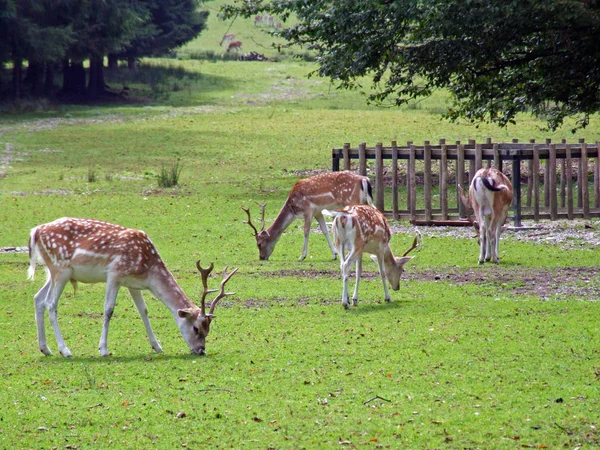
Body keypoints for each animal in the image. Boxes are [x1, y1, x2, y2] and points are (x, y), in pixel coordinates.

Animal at [28, 216, 238, 356]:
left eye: (208, 329)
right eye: (196, 328)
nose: (201, 350)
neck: (148, 269)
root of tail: (35, 231)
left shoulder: (133, 284)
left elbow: (143, 310)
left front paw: (157, 346)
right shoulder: (115, 274)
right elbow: (109, 309)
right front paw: (103, 349)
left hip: (53, 271)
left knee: (38, 298)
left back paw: (45, 348)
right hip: (61, 268)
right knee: (50, 303)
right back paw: (65, 350)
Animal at [241, 170, 372, 262]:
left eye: (259, 244)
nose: (261, 257)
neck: (293, 208)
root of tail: (364, 179)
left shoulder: (308, 210)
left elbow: (306, 231)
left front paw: (302, 256)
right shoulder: (318, 212)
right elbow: (324, 230)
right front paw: (334, 254)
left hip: (351, 201)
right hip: (364, 202)